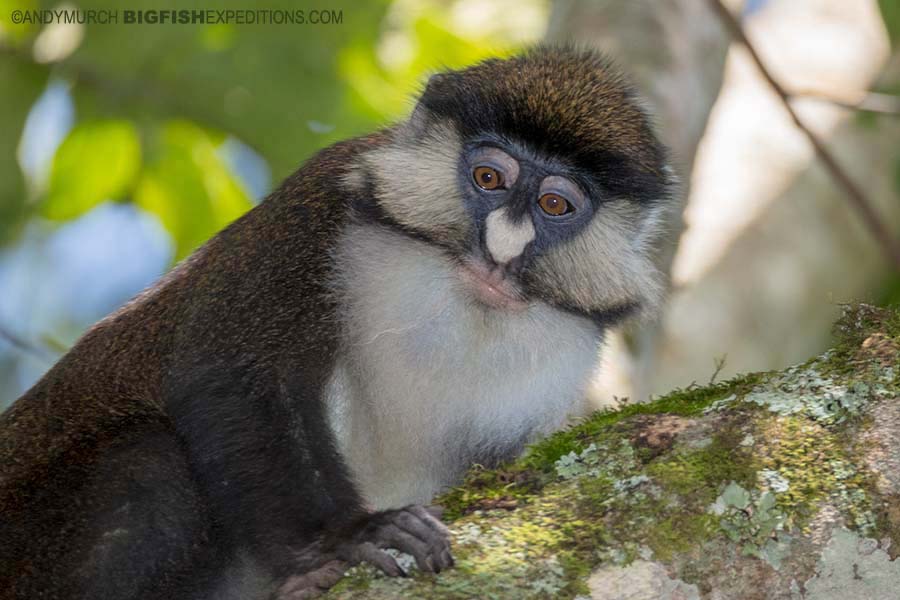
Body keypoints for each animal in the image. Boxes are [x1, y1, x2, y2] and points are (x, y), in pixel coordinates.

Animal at [0, 46, 674, 599]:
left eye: (555, 204)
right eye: (489, 177)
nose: (502, 249)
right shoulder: (316, 206)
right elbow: (237, 375)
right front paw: (347, 537)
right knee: (149, 471)